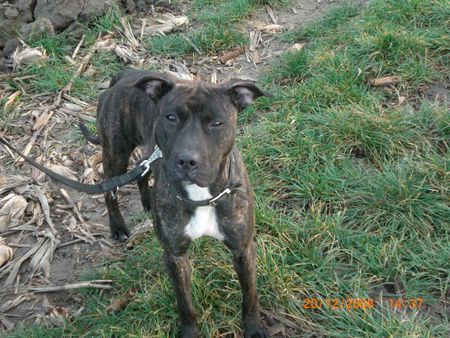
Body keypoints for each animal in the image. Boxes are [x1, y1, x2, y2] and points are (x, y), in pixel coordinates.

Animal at [80, 70, 268, 336]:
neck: (204, 196)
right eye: (171, 117)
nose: (187, 160)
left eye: (216, 123)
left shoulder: (243, 248)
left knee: (143, 170)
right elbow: (185, 304)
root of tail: (125, 74)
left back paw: (148, 202)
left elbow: (250, 295)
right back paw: (118, 227)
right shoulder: (174, 256)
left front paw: (253, 328)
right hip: (115, 152)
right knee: (110, 191)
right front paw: (190, 332)